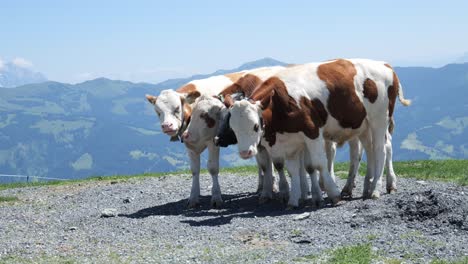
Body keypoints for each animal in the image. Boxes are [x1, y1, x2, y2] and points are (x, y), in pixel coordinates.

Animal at [229, 58, 412, 207]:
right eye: (233, 128)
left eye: (255, 126)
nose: (245, 152)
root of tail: (385, 65)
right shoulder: (289, 141)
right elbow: (293, 169)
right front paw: (294, 200)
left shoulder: (312, 132)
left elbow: (318, 164)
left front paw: (333, 193)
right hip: (364, 125)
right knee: (370, 150)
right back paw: (367, 186)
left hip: (379, 119)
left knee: (381, 149)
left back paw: (376, 189)